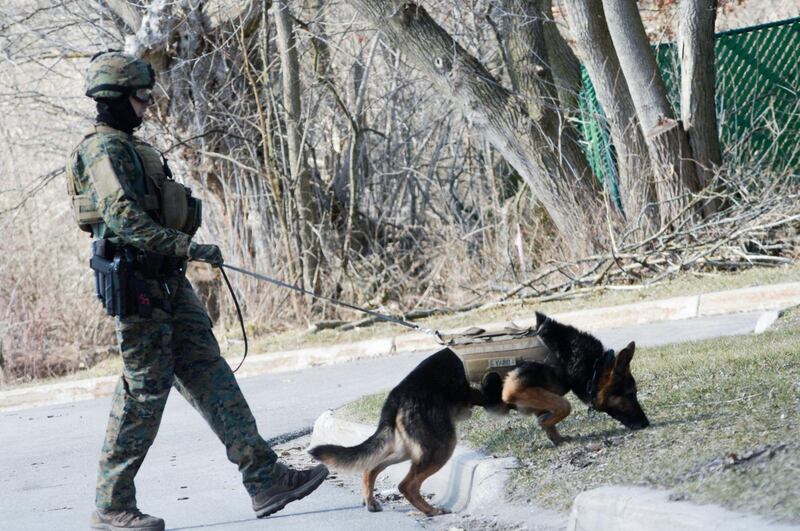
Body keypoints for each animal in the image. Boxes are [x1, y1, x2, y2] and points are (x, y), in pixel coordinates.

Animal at [308, 348, 484, 516]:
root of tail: (396, 396)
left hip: (407, 450)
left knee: (371, 468)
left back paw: (370, 501)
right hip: (440, 448)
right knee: (406, 485)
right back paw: (430, 510)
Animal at [482, 312, 648, 444]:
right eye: (631, 394)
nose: (646, 423)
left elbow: (553, 409)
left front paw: (557, 438)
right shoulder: (515, 389)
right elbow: (565, 405)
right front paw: (545, 423)